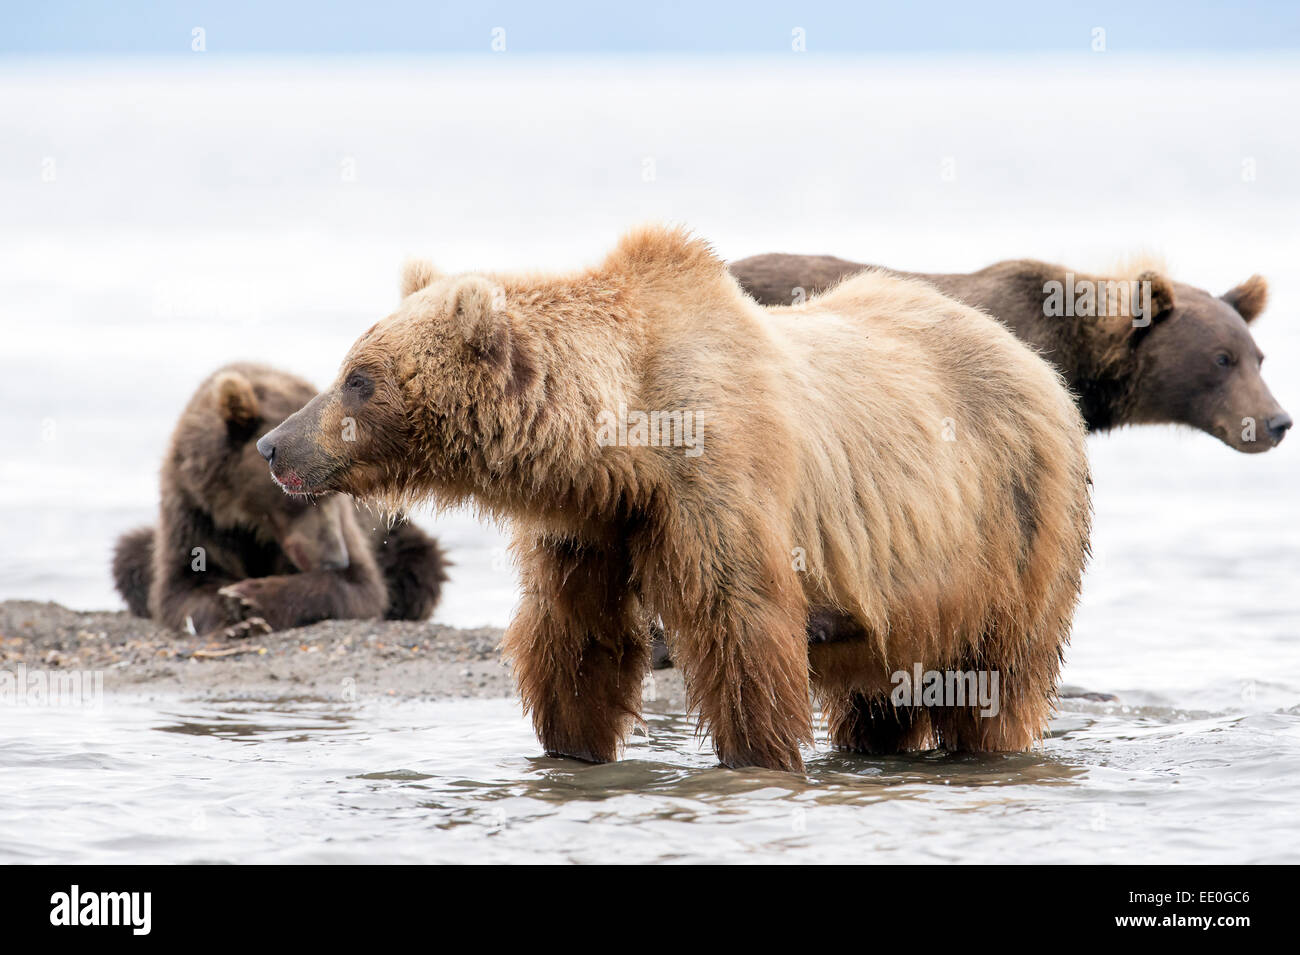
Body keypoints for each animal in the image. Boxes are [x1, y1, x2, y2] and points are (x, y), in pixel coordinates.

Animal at [111, 361, 447, 639]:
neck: (248, 518)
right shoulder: (195, 511)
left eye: (334, 493)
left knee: (421, 565)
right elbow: (182, 584)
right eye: (300, 496)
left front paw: (248, 598)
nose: (335, 558)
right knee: (130, 554)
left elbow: (360, 586)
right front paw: (232, 614)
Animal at [250, 227, 1086, 774]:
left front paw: (758, 756)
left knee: (997, 678)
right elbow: (576, 640)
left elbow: (742, 635)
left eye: (359, 378)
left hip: (1012, 525)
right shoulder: (592, 521)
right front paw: (572, 746)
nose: (272, 445)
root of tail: (1035, 362)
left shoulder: (718, 486)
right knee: (879, 697)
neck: (625, 442)